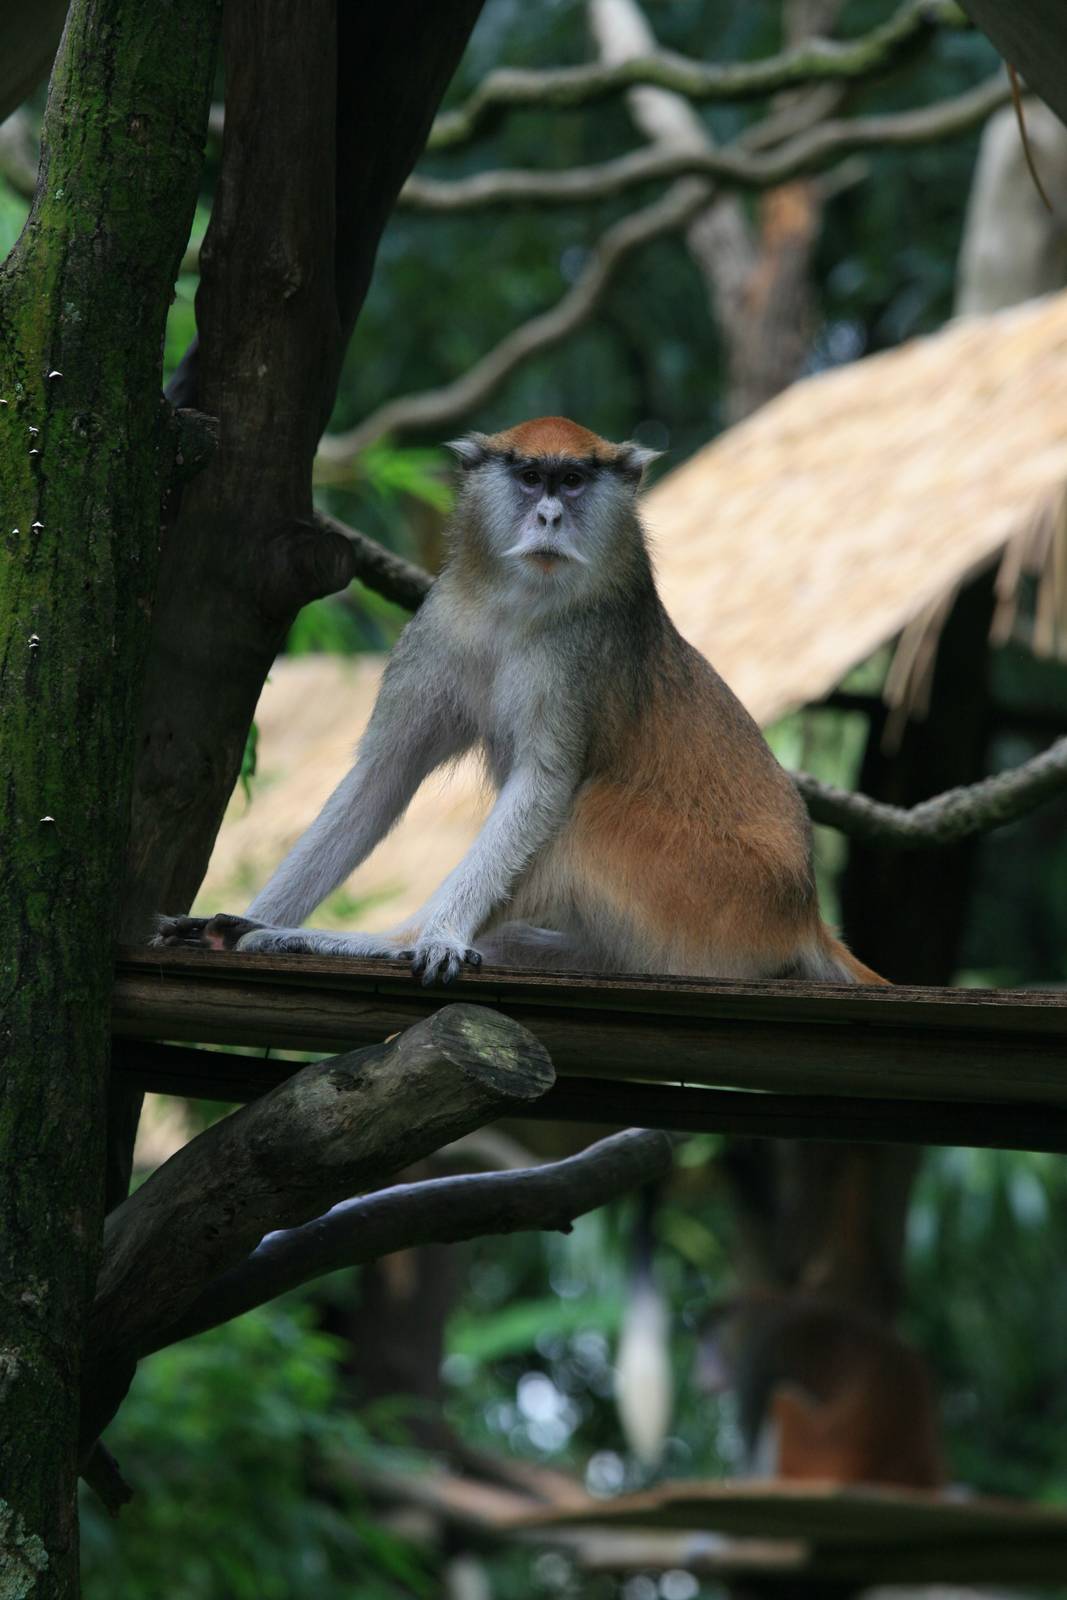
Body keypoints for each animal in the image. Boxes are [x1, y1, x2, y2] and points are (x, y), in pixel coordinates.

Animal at [156, 416, 886, 988]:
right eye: (531, 477)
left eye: (574, 481)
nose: (550, 516)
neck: (515, 606)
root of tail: (804, 914)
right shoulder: (440, 628)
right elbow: (381, 776)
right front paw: (240, 916)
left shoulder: (576, 659)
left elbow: (545, 784)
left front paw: (435, 939)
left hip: (714, 888)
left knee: (588, 811)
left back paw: (379, 943)